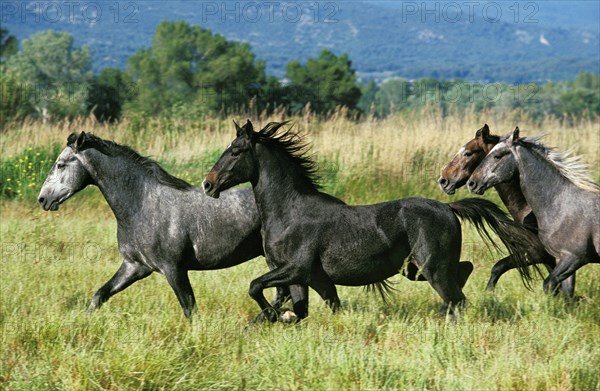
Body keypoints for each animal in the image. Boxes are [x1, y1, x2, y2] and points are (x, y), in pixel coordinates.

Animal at [37, 132, 338, 318]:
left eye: (61, 164)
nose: (43, 199)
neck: (142, 204)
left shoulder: (174, 269)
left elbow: (190, 309)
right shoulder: (135, 266)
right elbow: (100, 295)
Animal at [468, 128, 600, 294]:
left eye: (497, 156)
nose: (472, 183)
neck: (560, 206)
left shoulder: (574, 257)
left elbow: (548, 284)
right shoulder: (561, 258)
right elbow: (565, 292)